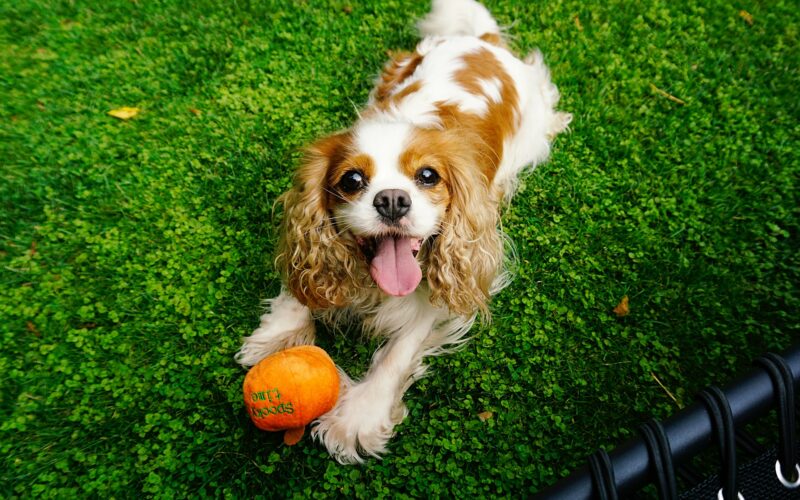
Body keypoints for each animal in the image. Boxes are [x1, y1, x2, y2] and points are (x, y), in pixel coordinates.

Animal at [234, 0, 572, 464]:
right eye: (352, 180)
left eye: (428, 176)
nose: (392, 199)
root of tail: (483, 43)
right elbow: (300, 288)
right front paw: (280, 334)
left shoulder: (441, 287)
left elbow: (400, 349)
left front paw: (358, 416)